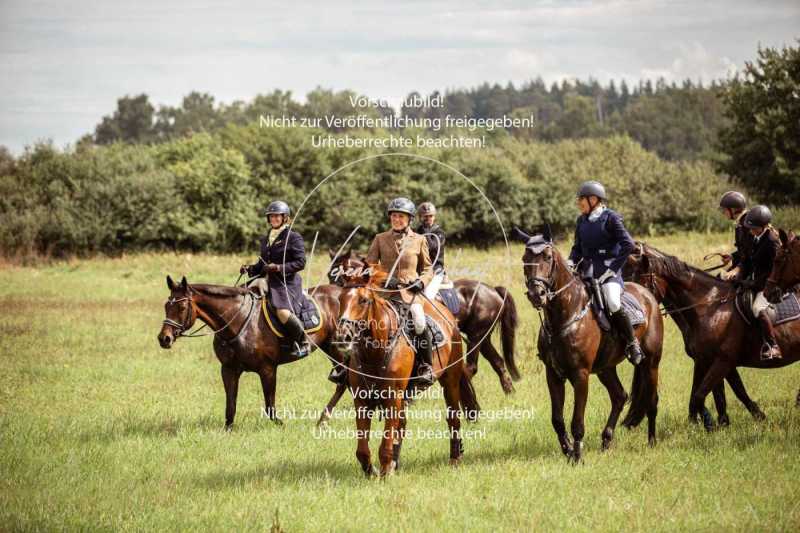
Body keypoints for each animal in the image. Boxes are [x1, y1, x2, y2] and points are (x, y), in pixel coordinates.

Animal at [157, 274, 346, 428]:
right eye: (166, 306)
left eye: (182, 308)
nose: (164, 338)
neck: (238, 321)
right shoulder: (228, 369)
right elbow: (230, 405)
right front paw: (228, 430)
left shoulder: (267, 369)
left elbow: (269, 406)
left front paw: (281, 425)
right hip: (329, 348)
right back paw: (323, 419)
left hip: (338, 348)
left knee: (343, 381)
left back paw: (324, 419)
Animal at [328, 247, 520, 392]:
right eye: (332, 276)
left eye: (337, 276)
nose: (334, 294)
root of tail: (494, 290)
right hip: (481, 337)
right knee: (497, 361)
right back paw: (509, 391)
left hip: (476, 336)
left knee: (471, 367)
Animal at [334, 266, 478, 474]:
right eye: (340, 299)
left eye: (363, 300)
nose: (342, 336)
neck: (375, 350)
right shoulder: (361, 399)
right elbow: (362, 450)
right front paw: (374, 471)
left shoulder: (393, 396)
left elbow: (385, 442)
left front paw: (384, 473)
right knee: (402, 425)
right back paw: (396, 463)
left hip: (449, 382)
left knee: (453, 418)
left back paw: (455, 458)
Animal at [512, 225, 664, 462]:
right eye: (524, 259)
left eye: (547, 257)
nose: (537, 294)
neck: (565, 315)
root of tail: (648, 295)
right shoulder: (553, 374)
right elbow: (557, 419)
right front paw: (566, 449)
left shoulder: (580, 375)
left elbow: (577, 421)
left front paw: (576, 456)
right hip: (605, 368)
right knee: (619, 396)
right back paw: (606, 440)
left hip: (651, 362)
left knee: (652, 400)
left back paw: (651, 441)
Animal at [628, 243, 800, 422]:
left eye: (641, 284)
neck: (709, 306)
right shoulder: (709, 360)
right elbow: (726, 393)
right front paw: (725, 421)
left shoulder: (722, 361)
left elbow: (701, 395)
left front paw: (708, 422)